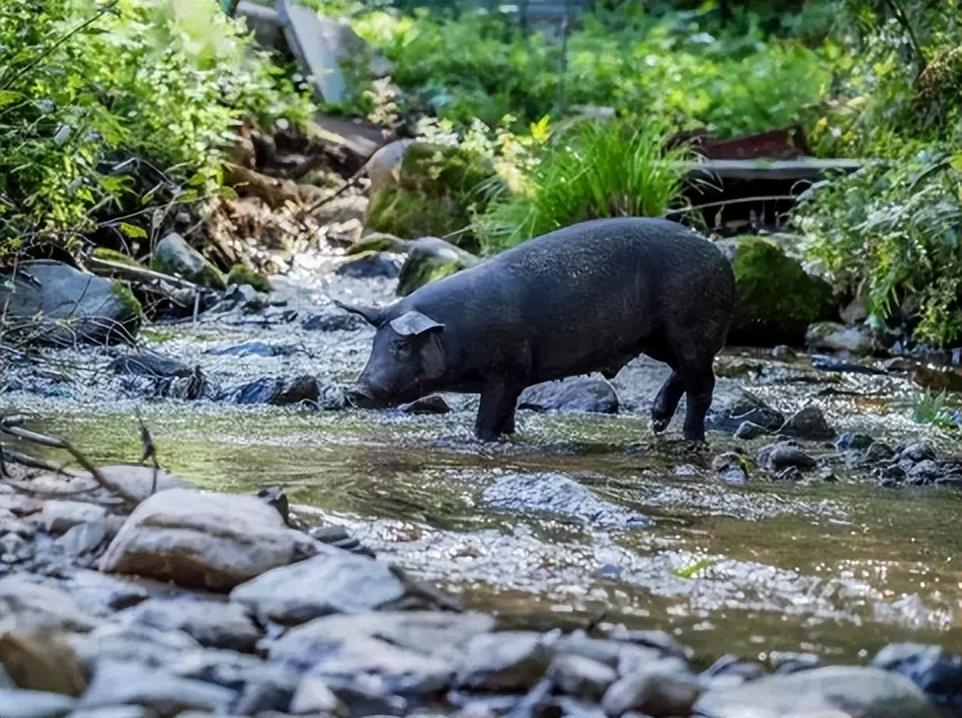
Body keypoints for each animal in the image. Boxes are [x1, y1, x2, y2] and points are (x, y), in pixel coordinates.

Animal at [338, 218, 736, 444]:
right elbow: (507, 417)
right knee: (683, 371)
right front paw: (508, 435)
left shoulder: (506, 371)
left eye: (402, 346)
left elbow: (488, 419)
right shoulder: (515, 379)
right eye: (376, 343)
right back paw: (657, 422)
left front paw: (482, 440)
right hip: (656, 338)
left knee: (703, 383)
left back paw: (692, 440)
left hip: (692, 325)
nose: (355, 392)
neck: (457, 331)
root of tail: (719, 256)